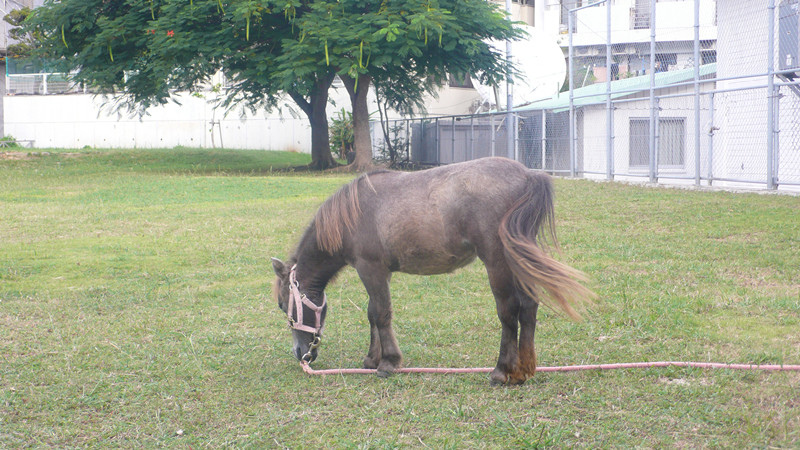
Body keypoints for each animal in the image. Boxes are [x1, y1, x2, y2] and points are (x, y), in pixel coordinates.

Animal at [272, 156, 596, 384]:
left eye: (283, 306)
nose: (301, 354)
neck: (352, 215)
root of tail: (528, 176)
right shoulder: (380, 272)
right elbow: (372, 313)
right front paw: (372, 359)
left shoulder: (370, 268)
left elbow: (381, 313)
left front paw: (388, 362)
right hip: (517, 260)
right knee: (528, 307)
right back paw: (523, 370)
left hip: (497, 262)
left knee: (509, 312)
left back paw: (502, 370)